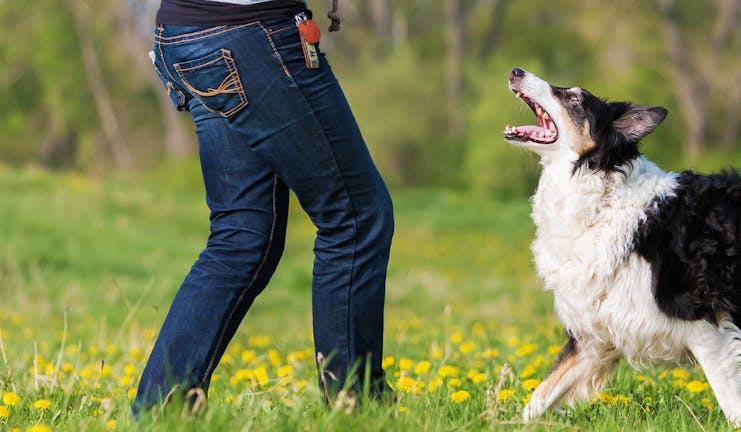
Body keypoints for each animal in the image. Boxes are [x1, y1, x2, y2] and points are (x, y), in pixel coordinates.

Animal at [502, 67, 740, 426]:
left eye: (574, 98)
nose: (516, 71)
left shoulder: (709, 329)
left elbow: (731, 405)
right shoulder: (594, 337)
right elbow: (540, 395)